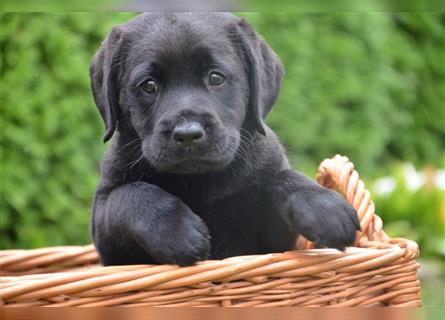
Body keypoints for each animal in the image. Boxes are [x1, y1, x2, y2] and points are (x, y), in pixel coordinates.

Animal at [88, 12, 360, 266]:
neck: (200, 182)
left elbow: (283, 178)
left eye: (216, 77)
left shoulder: (274, 240)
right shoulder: (105, 228)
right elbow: (129, 195)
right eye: (149, 85)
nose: (188, 134)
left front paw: (324, 208)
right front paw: (177, 232)